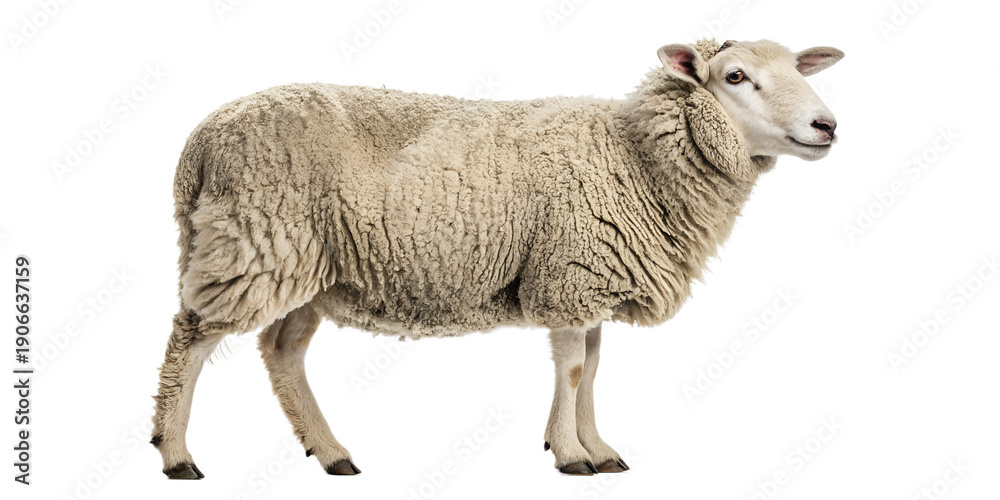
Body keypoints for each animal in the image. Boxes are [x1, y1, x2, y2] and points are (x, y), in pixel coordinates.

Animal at [151, 38, 844, 478]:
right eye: (735, 76)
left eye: (802, 69)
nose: (827, 125)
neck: (635, 157)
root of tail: (198, 144)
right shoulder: (568, 275)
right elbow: (573, 371)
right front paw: (572, 455)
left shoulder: (591, 280)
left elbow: (593, 370)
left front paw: (597, 447)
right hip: (255, 240)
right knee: (190, 337)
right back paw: (175, 453)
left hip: (313, 265)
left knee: (281, 351)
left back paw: (331, 453)